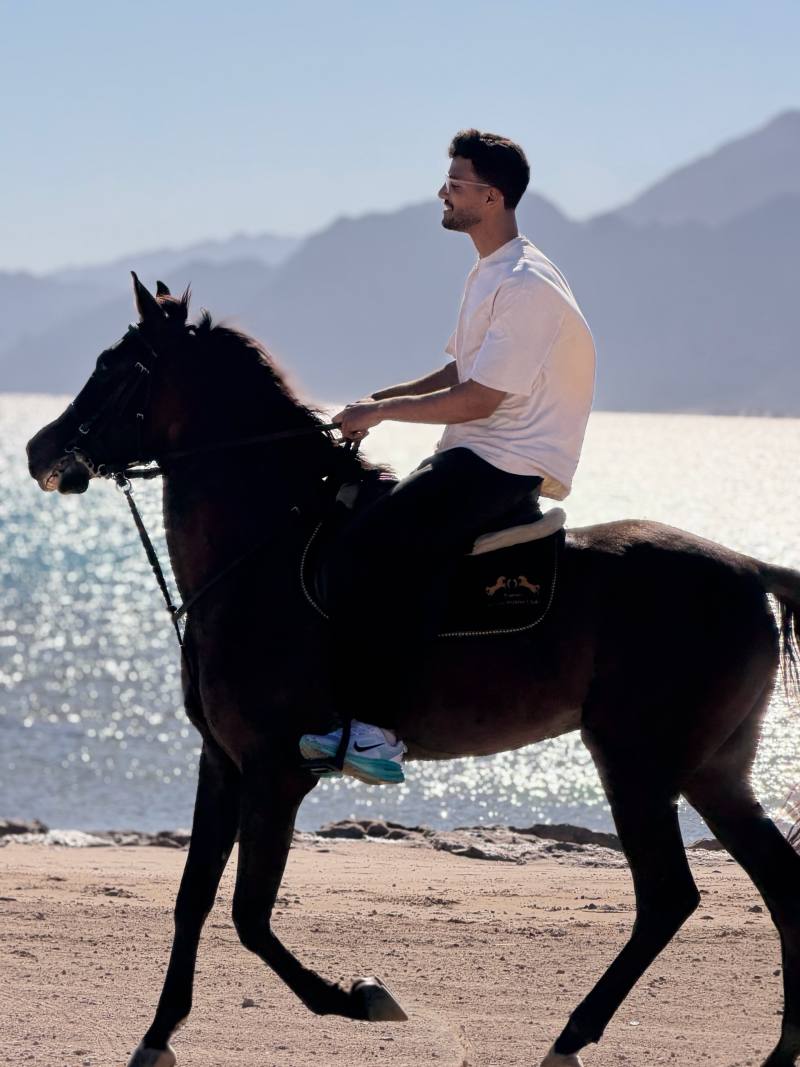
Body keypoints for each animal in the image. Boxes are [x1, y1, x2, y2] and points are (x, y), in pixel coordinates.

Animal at [26, 274, 800, 1067]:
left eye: (116, 369)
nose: (36, 448)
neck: (263, 553)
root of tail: (751, 570)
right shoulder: (223, 761)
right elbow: (193, 899)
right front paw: (157, 1034)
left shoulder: (276, 768)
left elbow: (249, 914)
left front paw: (359, 997)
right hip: (713, 769)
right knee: (782, 886)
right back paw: (781, 1048)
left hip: (637, 764)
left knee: (669, 894)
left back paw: (572, 1036)